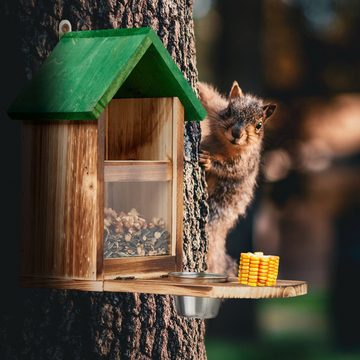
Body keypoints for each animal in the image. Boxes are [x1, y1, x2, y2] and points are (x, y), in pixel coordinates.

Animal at [198, 81, 278, 276]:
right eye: (228, 111)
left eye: (259, 125)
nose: (236, 133)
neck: (224, 145)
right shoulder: (215, 109)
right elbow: (210, 97)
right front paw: (197, 87)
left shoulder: (244, 162)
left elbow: (230, 169)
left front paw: (209, 161)